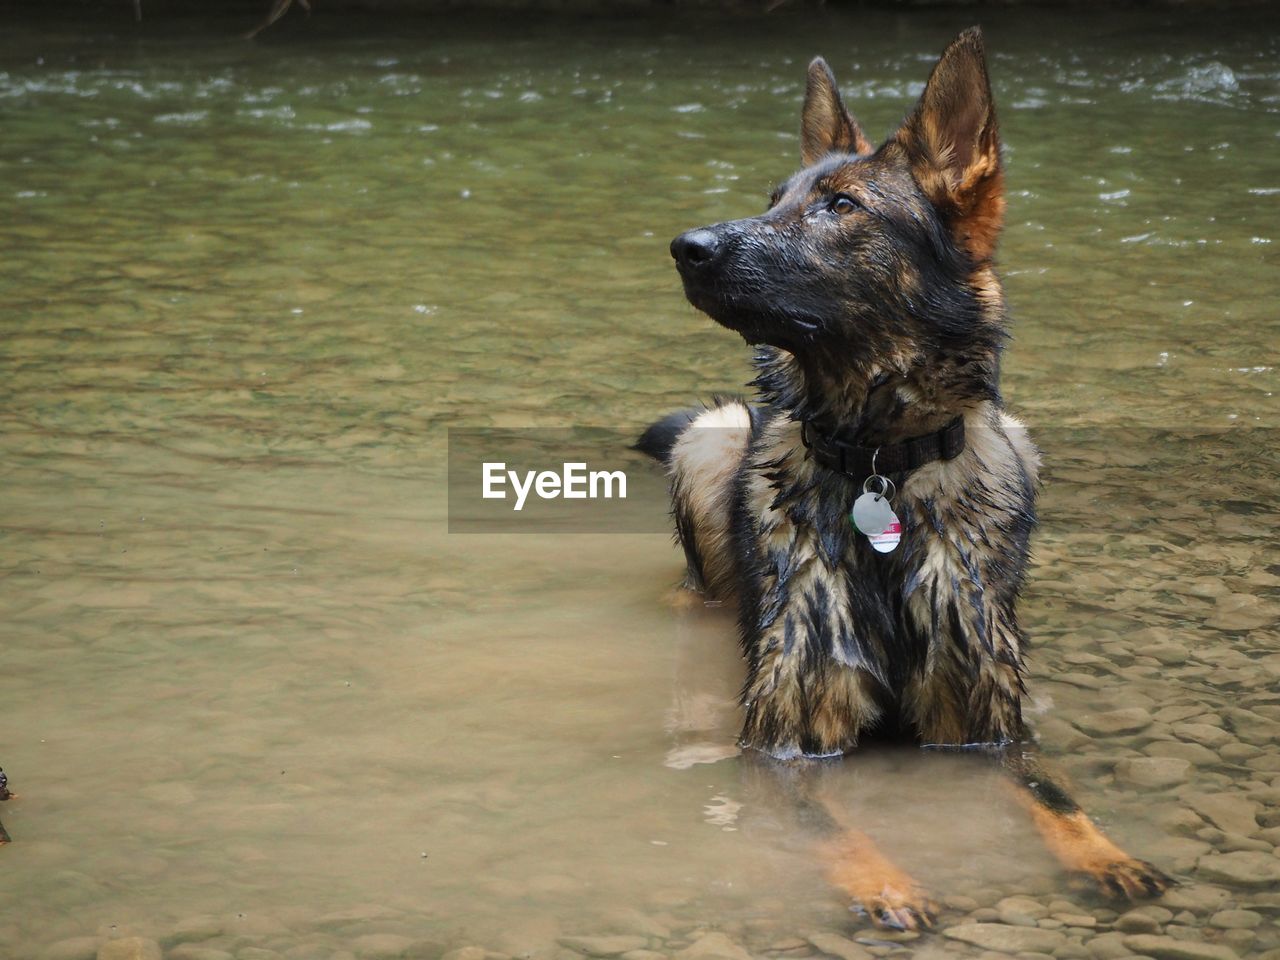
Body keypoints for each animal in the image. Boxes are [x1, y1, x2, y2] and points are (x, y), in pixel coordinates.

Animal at [640, 28, 1172, 931]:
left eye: (842, 206)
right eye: (775, 199)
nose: (686, 247)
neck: (880, 467)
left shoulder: (988, 728)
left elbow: (1056, 797)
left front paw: (1111, 855)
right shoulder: (785, 741)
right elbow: (832, 827)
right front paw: (888, 883)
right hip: (713, 439)